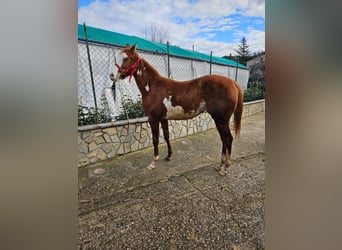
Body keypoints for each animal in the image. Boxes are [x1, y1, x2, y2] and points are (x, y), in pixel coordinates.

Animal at [110, 43, 243, 176]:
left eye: (125, 58)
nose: (111, 76)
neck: (153, 87)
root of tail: (233, 82)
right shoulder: (163, 118)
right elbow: (166, 136)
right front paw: (168, 156)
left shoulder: (153, 118)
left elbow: (155, 139)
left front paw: (153, 162)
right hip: (220, 120)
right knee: (223, 140)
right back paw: (219, 166)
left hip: (221, 119)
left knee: (228, 139)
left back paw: (225, 168)